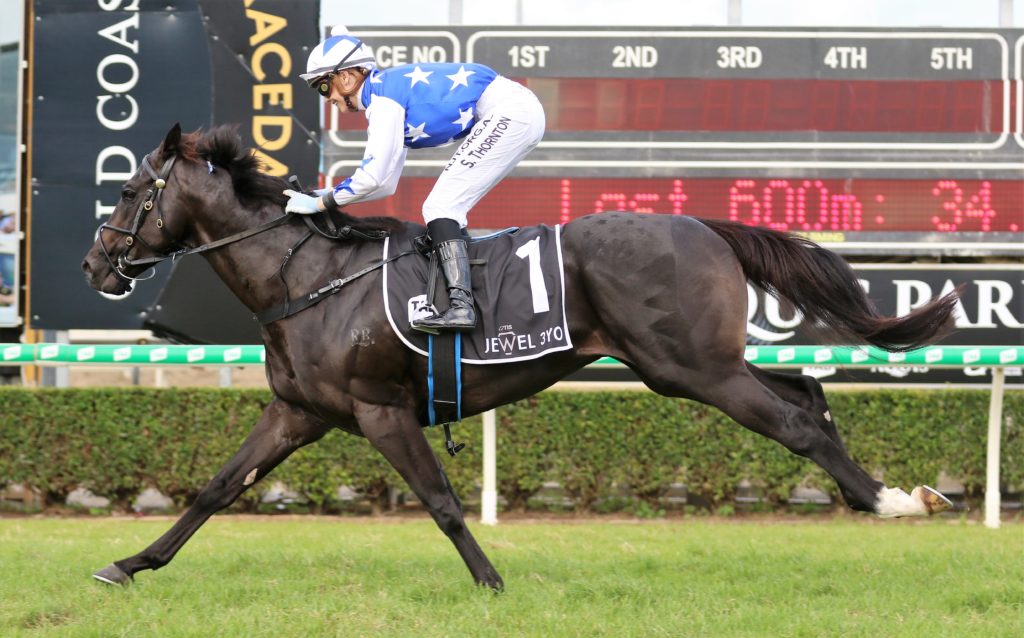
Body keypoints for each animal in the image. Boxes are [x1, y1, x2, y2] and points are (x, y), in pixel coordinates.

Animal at [82, 124, 959, 589]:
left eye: (127, 191)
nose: (95, 264)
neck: (310, 278)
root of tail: (704, 223)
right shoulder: (300, 410)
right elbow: (218, 486)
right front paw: (130, 563)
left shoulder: (379, 409)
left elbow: (439, 502)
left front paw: (490, 582)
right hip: (698, 364)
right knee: (806, 391)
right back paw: (881, 491)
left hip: (690, 369)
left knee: (796, 424)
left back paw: (894, 501)